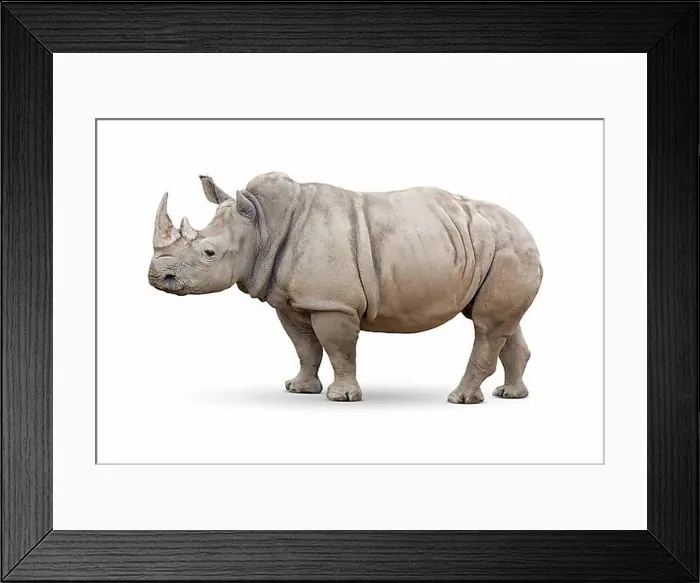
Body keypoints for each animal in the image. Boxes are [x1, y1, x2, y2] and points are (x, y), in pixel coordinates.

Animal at [148, 172, 542, 404]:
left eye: (209, 253)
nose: (156, 277)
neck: (262, 226)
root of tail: (526, 229)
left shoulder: (333, 302)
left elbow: (338, 348)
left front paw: (342, 397)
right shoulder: (292, 301)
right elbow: (305, 347)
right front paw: (299, 389)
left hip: (508, 247)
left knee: (486, 328)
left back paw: (460, 399)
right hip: (496, 247)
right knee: (501, 325)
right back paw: (510, 395)